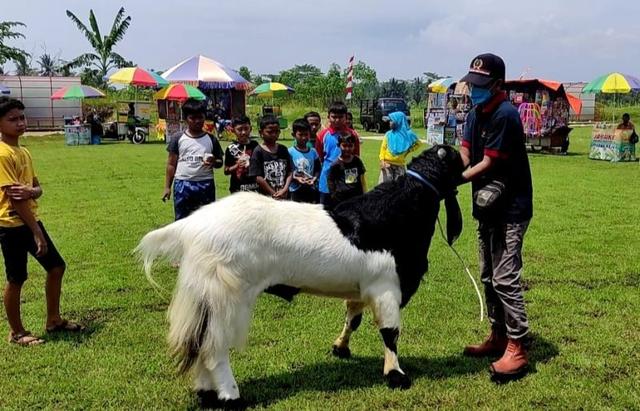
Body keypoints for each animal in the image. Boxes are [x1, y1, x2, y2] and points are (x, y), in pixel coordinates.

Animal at [138, 145, 462, 408]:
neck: (396, 214)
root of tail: (192, 225)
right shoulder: (387, 287)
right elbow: (390, 332)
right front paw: (396, 376)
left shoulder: (363, 288)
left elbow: (352, 318)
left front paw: (340, 347)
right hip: (226, 296)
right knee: (213, 348)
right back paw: (231, 396)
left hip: (205, 297)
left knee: (199, 342)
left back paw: (207, 394)